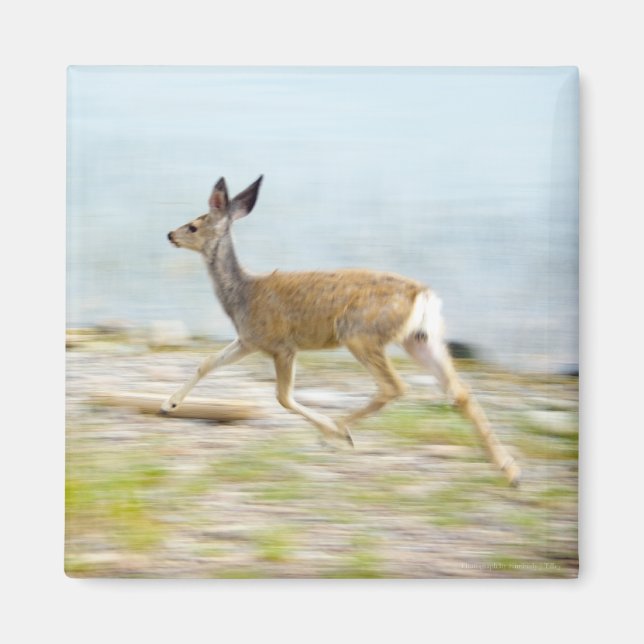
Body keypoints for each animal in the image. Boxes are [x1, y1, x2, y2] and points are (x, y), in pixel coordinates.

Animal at [162, 176, 521, 486]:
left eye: (193, 225)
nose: (170, 235)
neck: (242, 293)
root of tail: (424, 296)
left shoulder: (280, 344)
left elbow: (283, 397)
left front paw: (334, 433)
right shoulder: (249, 340)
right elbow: (207, 362)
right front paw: (169, 405)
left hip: (361, 334)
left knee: (394, 386)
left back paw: (338, 432)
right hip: (420, 339)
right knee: (459, 391)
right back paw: (510, 471)